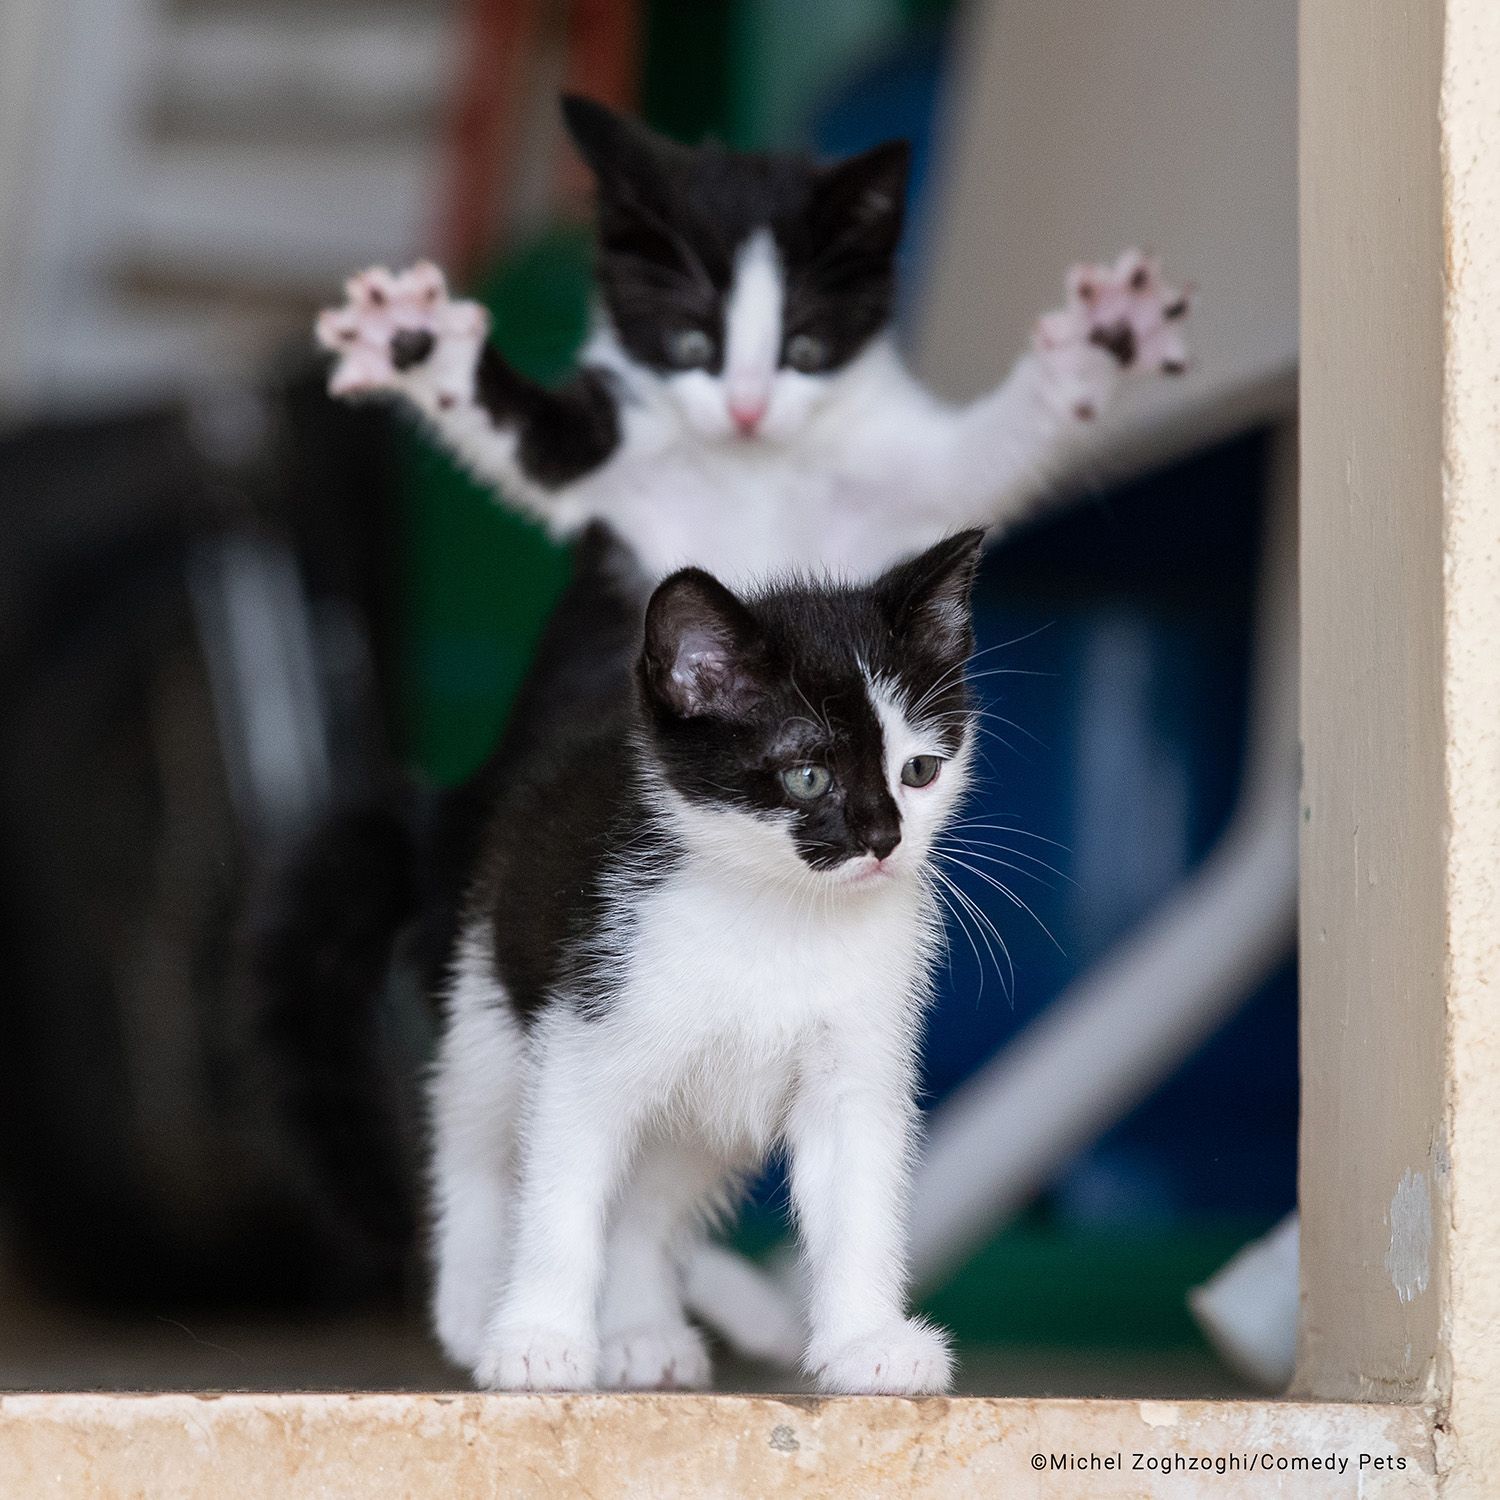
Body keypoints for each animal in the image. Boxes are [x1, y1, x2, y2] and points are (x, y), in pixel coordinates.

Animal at [316, 96, 1182, 588]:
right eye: (691, 345)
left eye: (805, 350)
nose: (746, 410)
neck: (755, 473)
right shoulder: (612, 482)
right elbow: (533, 439)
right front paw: (419, 343)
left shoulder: (910, 492)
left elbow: (983, 459)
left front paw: (1101, 341)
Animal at [435, 531, 990, 1392]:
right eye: (808, 776)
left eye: (920, 771)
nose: (884, 840)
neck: (776, 913)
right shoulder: (589, 1029)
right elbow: (561, 1191)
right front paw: (538, 1339)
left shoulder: (856, 1061)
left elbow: (858, 1197)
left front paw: (867, 1341)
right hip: (490, 990)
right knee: (475, 1141)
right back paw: (469, 1308)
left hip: (694, 1123)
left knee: (644, 1203)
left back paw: (640, 1330)